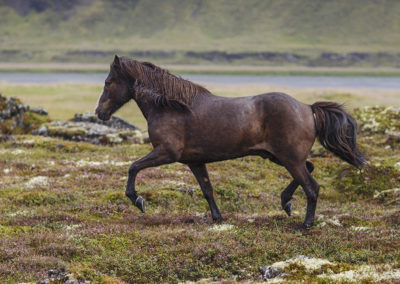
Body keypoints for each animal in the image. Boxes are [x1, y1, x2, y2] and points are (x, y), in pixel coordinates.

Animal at [95, 55, 364, 229]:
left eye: (108, 82)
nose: (100, 112)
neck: (171, 107)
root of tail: (308, 108)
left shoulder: (166, 153)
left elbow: (133, 167)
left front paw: (138, 200)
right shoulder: (194, 161)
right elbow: (207, 189)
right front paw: (217, 218)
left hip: (289, 159)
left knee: (312, 186)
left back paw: (305, 224)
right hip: (280, 157)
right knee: (309, 169)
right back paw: (285, 202)